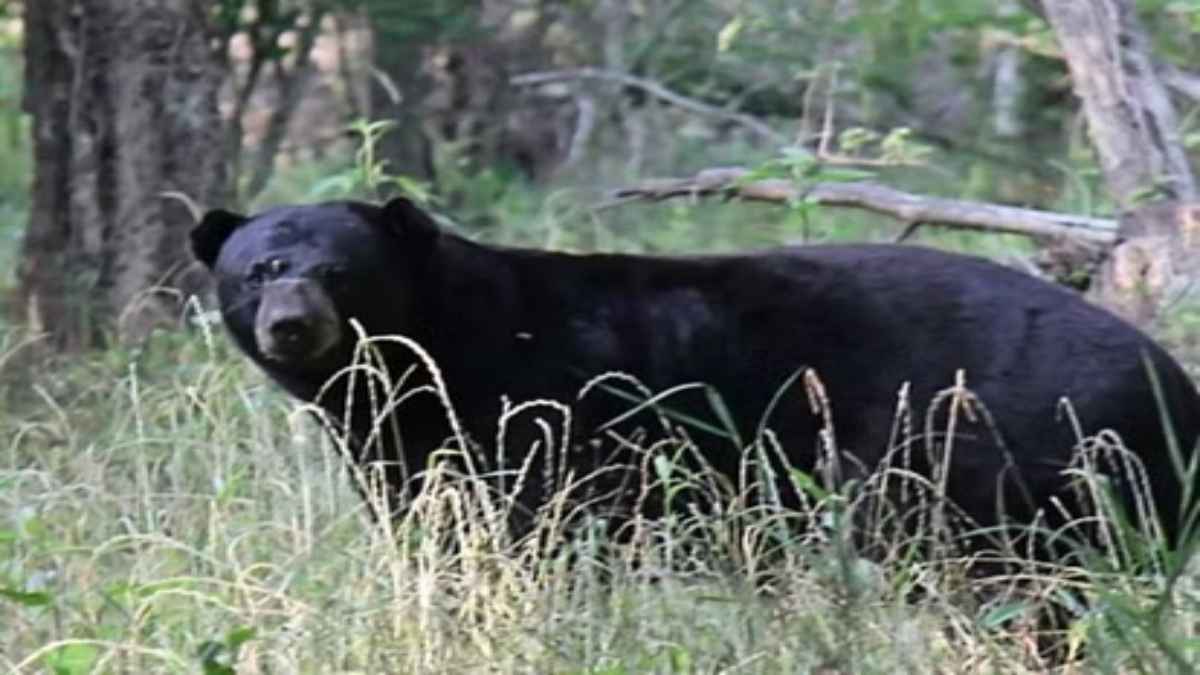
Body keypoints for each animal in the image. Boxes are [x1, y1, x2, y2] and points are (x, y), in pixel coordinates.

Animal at [190, 197, 1200, 555]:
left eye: (340, 271)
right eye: (258, 270)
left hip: (1019, 460)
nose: (292, 325)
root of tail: (1176, 387)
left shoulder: (539, 414)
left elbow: (533, 529)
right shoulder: (403, 452)